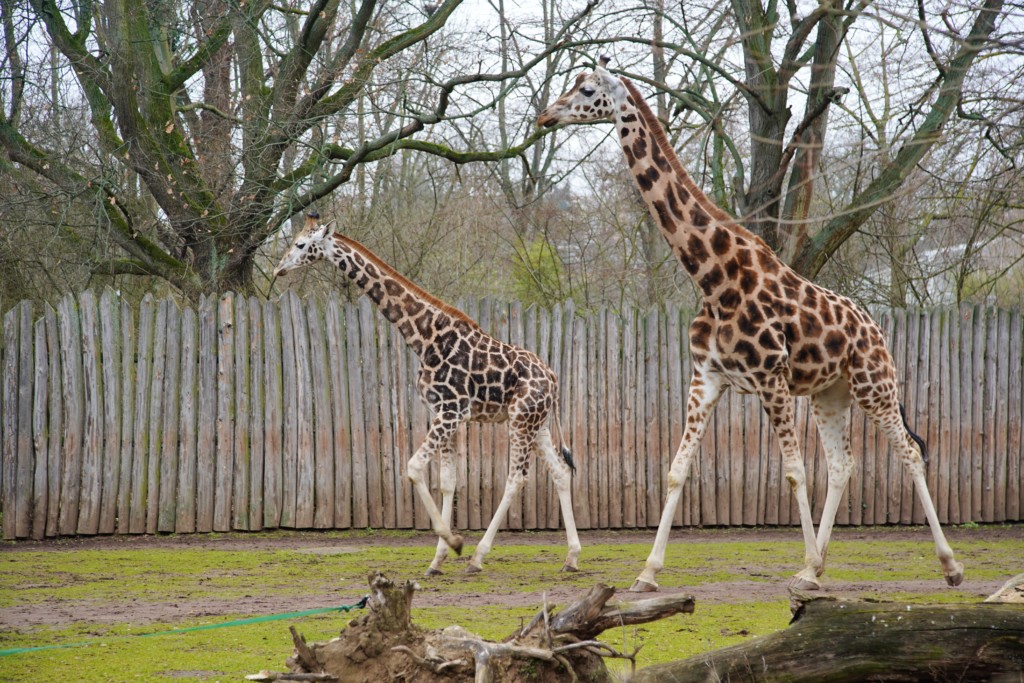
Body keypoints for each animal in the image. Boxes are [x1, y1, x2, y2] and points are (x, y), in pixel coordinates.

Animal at [274, 215, 585, 577]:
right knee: (560, 472)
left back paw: (478, 557)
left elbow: (412, 467)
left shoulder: (451, 412)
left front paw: (454, 544)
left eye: (300, 244)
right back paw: (571, 557)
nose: (279, 269)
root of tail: (553, 379)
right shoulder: (444, 413)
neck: (424, 339)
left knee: (516, 478)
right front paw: (437, 560)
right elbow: (447, 482)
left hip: (520, 421)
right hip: (538, 423)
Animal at [540, 57, 962, 593]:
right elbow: (677, 470)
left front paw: (806, 559)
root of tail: (874, 327)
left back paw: (949, 566)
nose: (545, 116)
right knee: (843, 463)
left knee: (908, 450)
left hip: (875, 383)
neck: (712, 277)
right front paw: (648, 573)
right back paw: (815, 571)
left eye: (587, 90)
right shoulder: (707, 378)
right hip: (830, 393)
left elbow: (794, 471)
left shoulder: (770, 378)